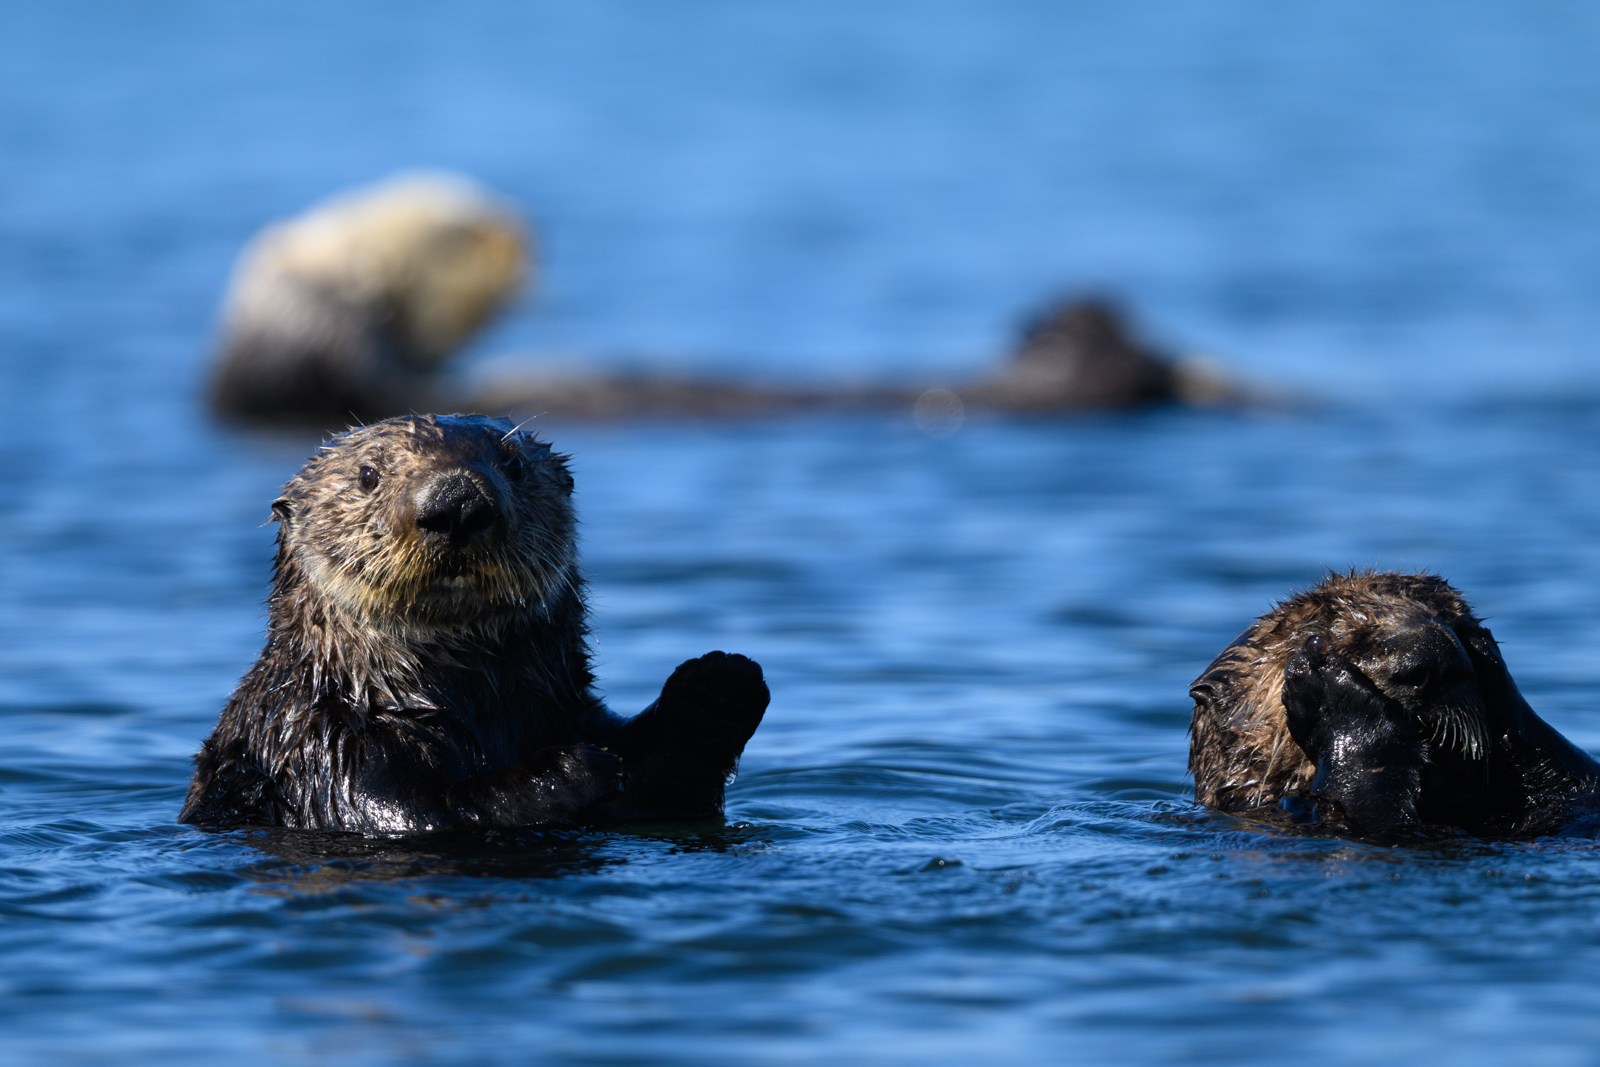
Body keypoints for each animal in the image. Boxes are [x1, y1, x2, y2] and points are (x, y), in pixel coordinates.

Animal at [179, 413, 769, 833]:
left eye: (515, 467)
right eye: (368, 474)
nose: (457, 500)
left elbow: (671, 790)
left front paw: (719, 684)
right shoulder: (318, 747)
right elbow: (420, 808)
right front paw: (569, 770)